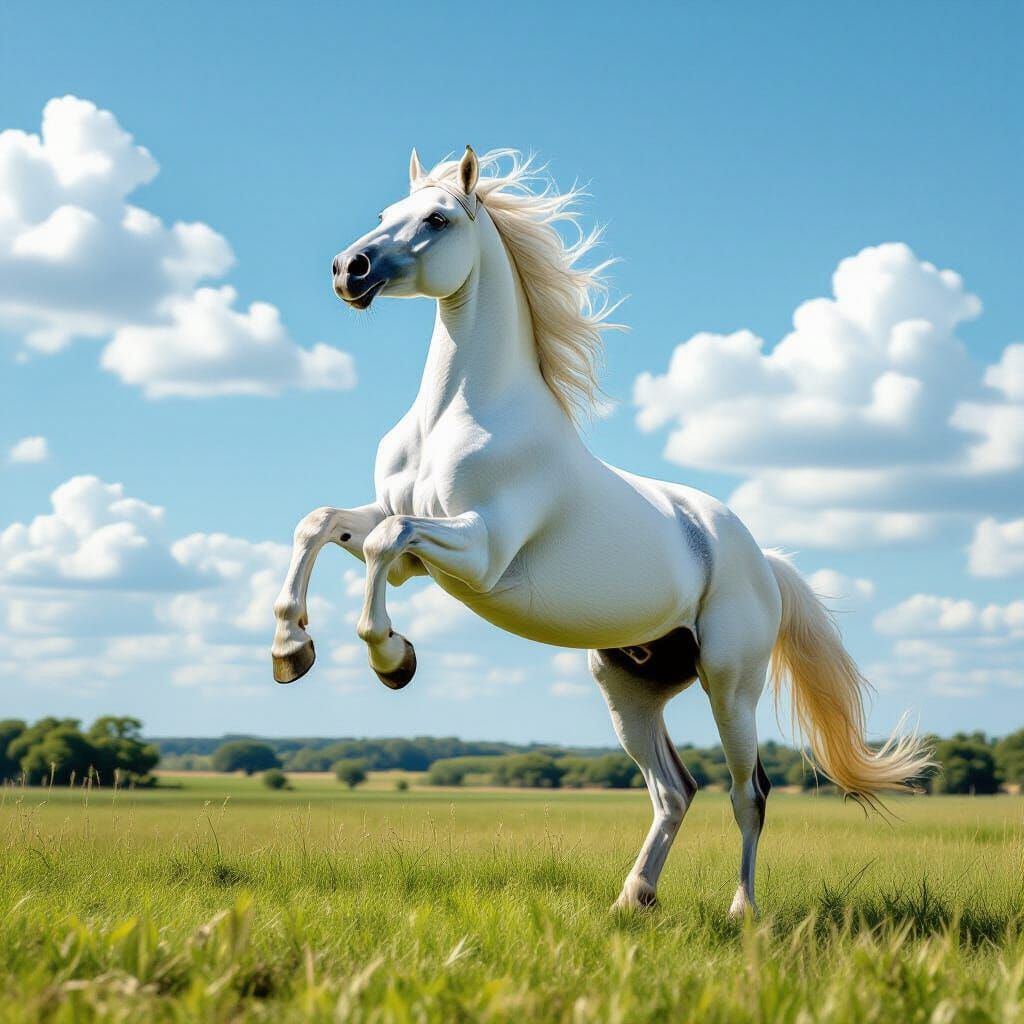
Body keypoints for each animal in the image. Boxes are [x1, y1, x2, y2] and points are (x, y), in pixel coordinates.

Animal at [271, 146, 932, 915]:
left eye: (436, 219)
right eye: (385, 214)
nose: (349, 269)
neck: (457, 418)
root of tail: (761, 559)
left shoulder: (479, 550)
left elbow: (385, 543)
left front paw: (393, 660)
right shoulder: (400, 532)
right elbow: (323, 525)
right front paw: (291, 650)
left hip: (730, 684)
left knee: (749, 793)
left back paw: (742, 911)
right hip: (628, 688)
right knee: (675, 790)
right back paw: (632, 898)